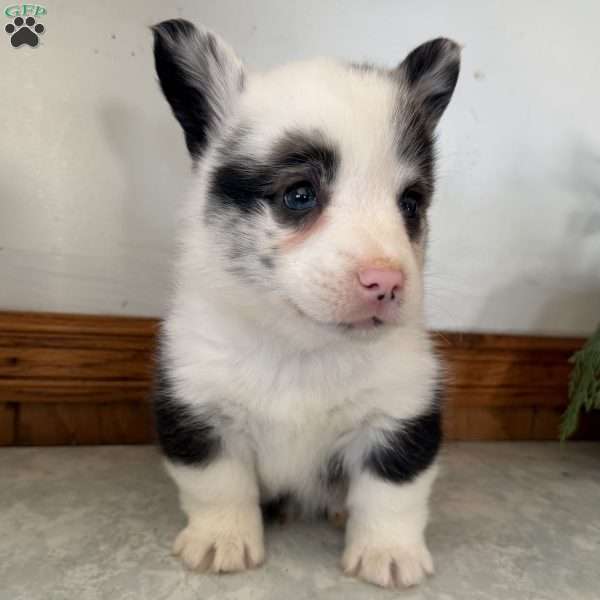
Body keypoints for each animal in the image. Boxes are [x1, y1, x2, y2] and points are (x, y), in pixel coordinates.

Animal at [150, 19, 460, 592]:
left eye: (410, 204)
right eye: (299, 195)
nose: (386, 283)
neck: (300, 350)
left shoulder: (401, 414)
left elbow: (392, 494)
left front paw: (387, 551)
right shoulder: (200, 411)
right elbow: (217, 485)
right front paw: (222, 538)